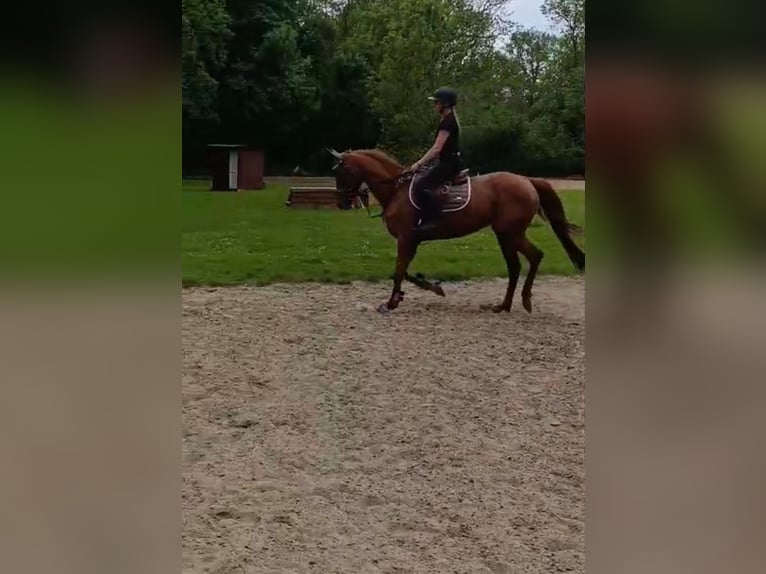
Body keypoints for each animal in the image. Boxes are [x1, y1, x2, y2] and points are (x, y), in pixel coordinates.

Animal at [329, 148, 584, 314]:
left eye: (342, 172)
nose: (342, 203)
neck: (396, 190)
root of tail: (526, 181)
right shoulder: (411, 240)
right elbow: (405, 270)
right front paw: (430, 288)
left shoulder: (406, 238)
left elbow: (399, 270)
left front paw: (391, 303)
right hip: (507, 235)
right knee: (521, 264)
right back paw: (505, 305)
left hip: (510, 233)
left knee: (529, 259)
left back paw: (522, 301)